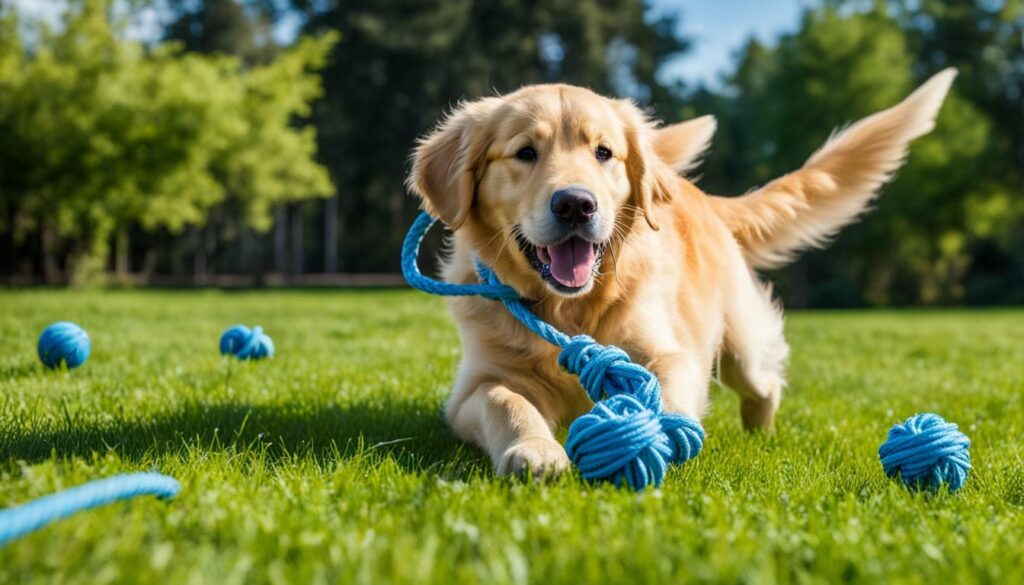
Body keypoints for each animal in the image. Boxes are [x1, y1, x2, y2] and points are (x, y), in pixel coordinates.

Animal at [403, 68, 954, 477]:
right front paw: (535, 452)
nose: (576, 204)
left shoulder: (668, 352)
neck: (570, 309)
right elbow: (505, 400)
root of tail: (702, 196)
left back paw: (760, 428)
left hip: (741, 345)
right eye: (524, 153)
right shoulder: (474, 387)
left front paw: (659, 433)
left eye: (604, 152)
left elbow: (665, 388)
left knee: (763, 381)